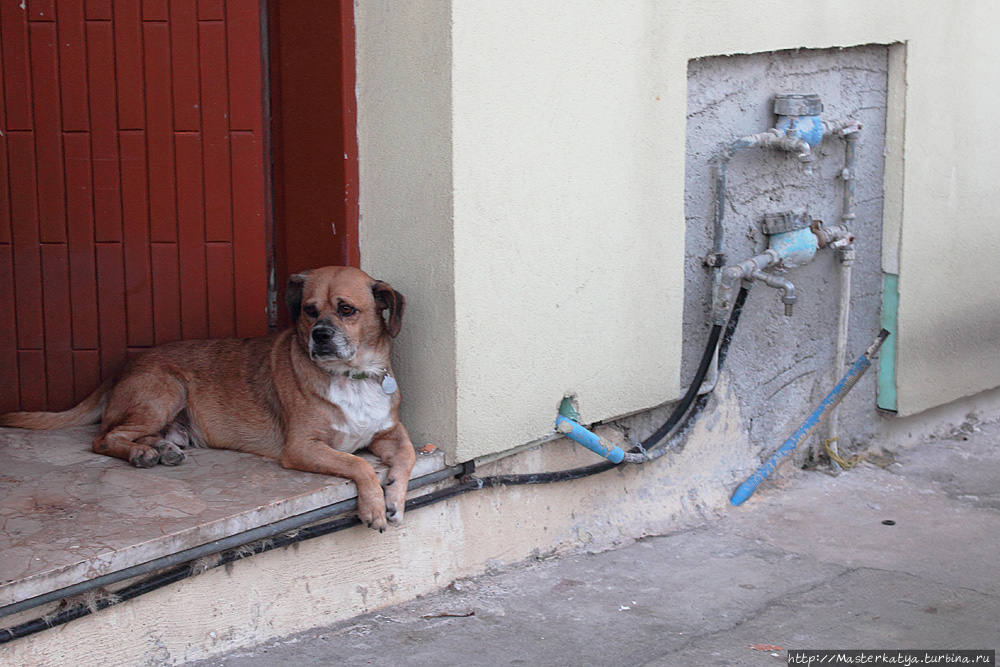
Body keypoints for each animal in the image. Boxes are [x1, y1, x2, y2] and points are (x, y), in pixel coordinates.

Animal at [0, 266, 414, 532]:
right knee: (104, 438)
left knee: (133, 434)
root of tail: (122, 369)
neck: (351, 375)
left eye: (346, 310)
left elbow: (407, 456)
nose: (320, 335)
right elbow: (358, 465)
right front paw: (374, 506)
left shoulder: (388, 434)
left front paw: (394, 496)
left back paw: (159, 449)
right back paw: (141, 454)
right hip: (166, 390)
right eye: (310, 311)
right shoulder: (302, 447)